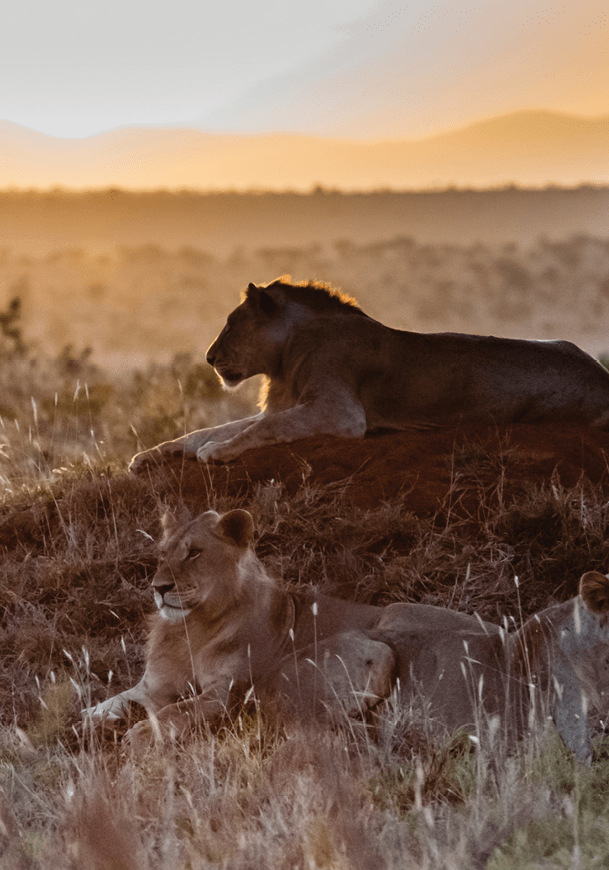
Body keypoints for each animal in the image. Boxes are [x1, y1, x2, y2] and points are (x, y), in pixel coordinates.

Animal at [83, 509, 609, 763]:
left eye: (193, 553)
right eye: (162, 554)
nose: (159, 587)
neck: (193, 625)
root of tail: (505, 634)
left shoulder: (225, 695)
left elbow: (173, 714)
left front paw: (136, 736)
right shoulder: (153, 685)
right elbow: (120, 698)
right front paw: (89, 720)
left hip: (387, 623)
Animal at [129, 277, 609, 470]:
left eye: (232, 323)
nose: (210, 358)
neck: (286, 354)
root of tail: (601, 374)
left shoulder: (340, 412)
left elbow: (258, 430)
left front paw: (217, 451)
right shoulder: (288, 406)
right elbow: (209, 429)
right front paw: (148, 455)